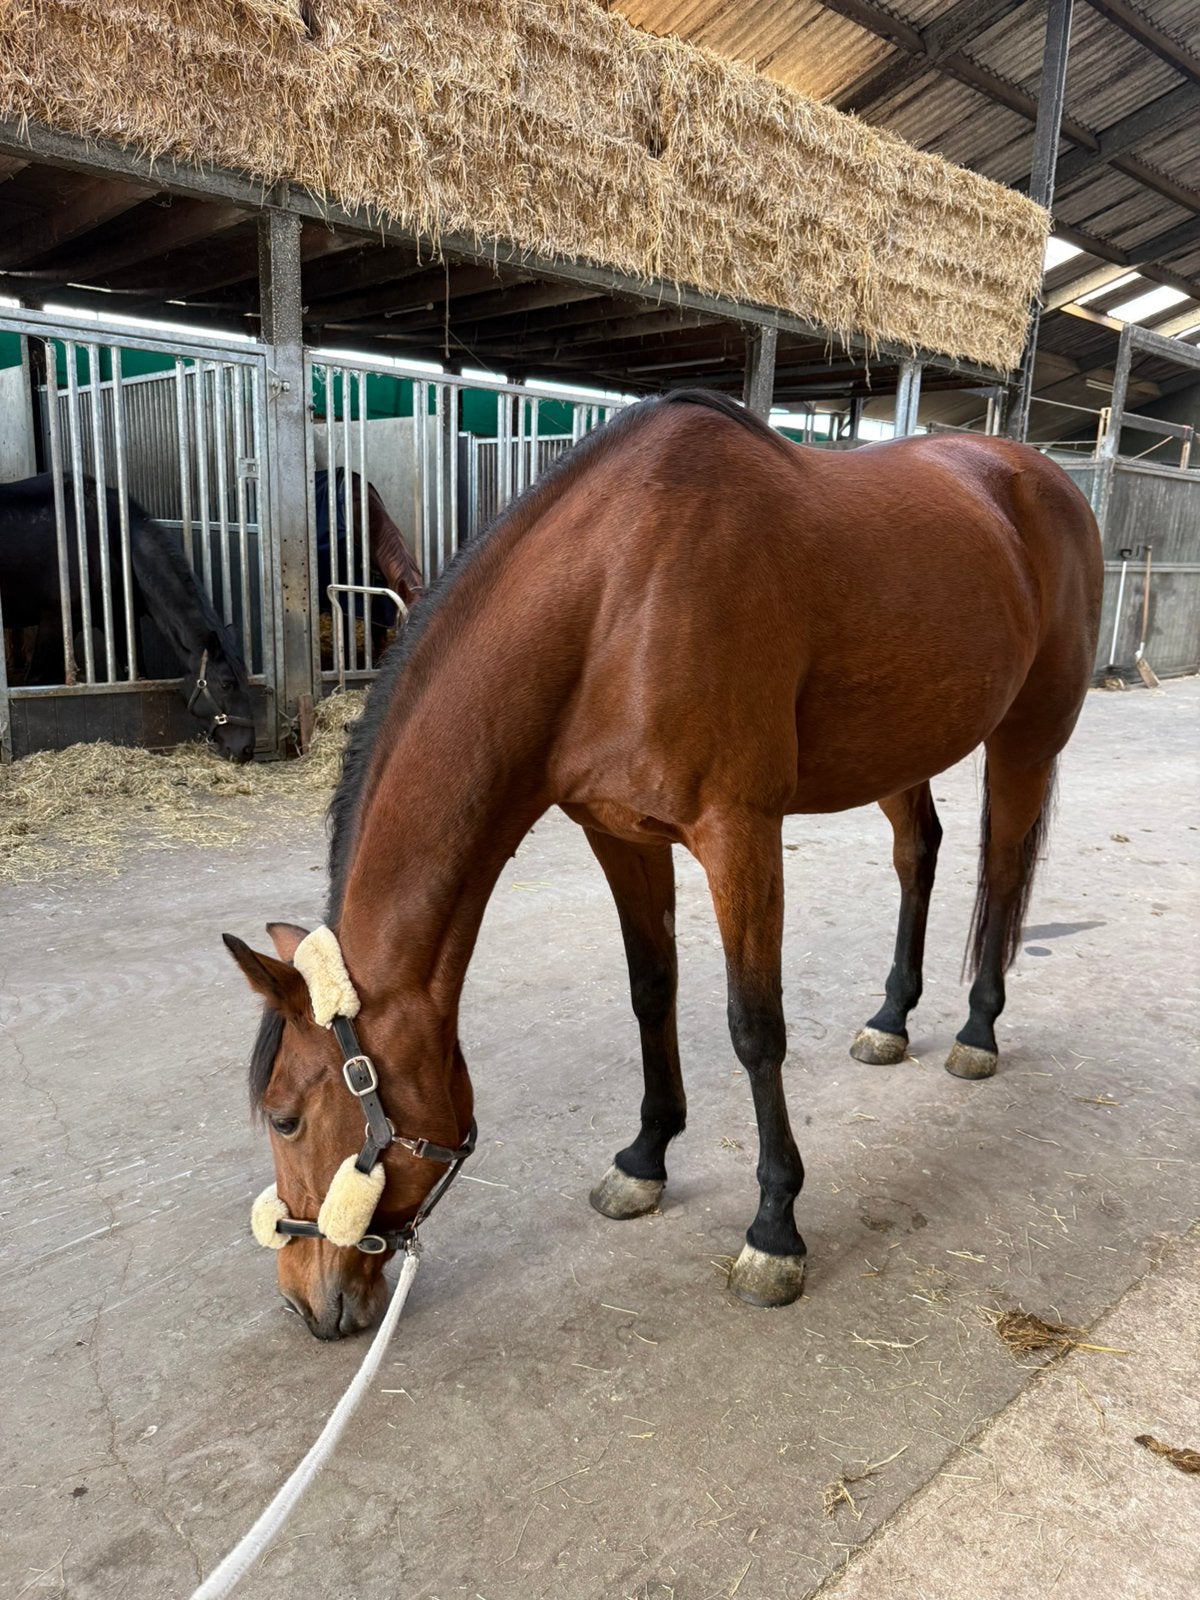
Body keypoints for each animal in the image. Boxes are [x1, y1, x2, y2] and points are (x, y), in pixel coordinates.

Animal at [0, 473, 256, 761]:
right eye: (226, 684)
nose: (246, 749)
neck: (103, 541)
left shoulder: (119, 619)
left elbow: (137, 674)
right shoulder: (55, 622)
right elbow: (38, 680)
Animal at [223, 390, 1103, 1339]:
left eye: (286, 1117)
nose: (306, 1299)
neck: (615, 602)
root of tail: (1045, 478)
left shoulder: (738, 831)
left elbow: (755, 1027)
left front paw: (774, 1231)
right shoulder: (622, 834)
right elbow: (652, 991)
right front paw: (645, 1158)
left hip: (1026, 736)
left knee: (1002, 871)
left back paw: (977, 1032)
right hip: (902, 749)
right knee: (921, 855)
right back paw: (891, 1019)